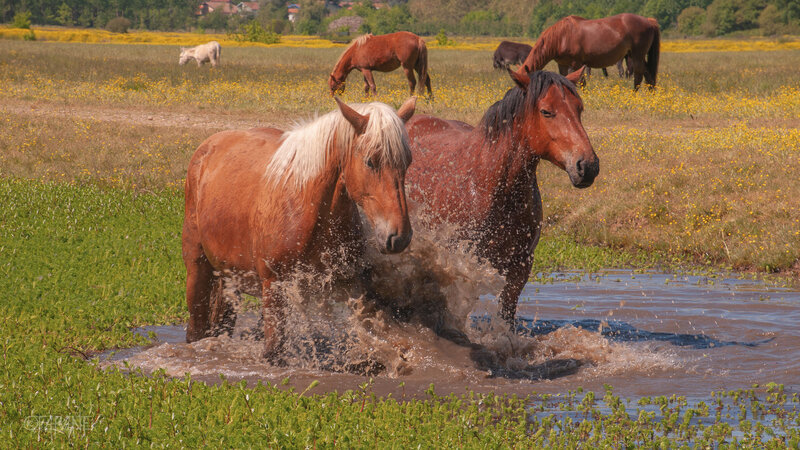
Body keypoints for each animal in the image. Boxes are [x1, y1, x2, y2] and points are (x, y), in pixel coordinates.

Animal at [184, 96, 416, 360]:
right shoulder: (274, 287)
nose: (399, 237)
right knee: (195, 330)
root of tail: (208, 146)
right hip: (197, 269)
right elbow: (274, 353)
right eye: (370, 161)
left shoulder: (354, 288)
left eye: (407, 163)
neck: (308, 208)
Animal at [520, 13, 664, 90]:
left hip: (637, 56)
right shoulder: (563, 65)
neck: (562, 36)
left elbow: (579, 82)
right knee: (647, 74)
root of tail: (648, 21)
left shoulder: (575, 64)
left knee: (640, 75)